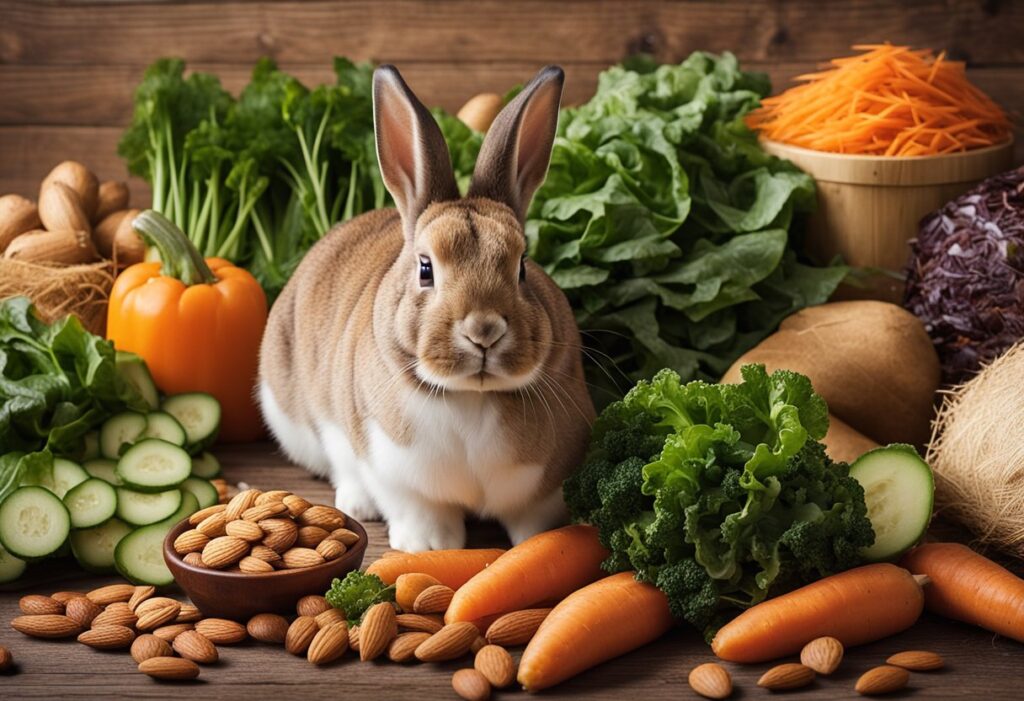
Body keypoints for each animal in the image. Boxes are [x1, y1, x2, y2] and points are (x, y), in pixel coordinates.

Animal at [258, 64, 595, 552]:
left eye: (522, 266)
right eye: (425, 268)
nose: (484, 330)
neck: (471, 396)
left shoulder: (544, 487)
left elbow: (535, 522)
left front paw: (543, 542)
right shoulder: (395, 474)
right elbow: (420, 510)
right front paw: (429, 547)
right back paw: (358, 505)